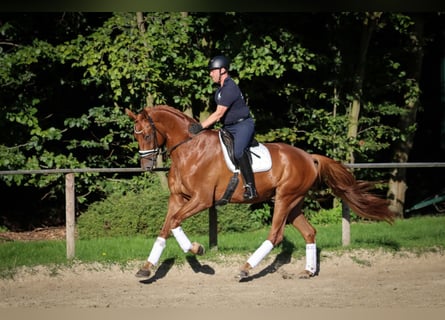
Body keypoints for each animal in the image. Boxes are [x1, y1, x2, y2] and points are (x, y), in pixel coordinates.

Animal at [125, 105, 396, 280]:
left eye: (147, 134)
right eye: (136, 136)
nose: (146, 167)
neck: (190, 149)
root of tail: (309, 157)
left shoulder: (201, 199)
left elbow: (174, 222)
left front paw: (196, 249)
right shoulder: (177, 198)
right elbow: (166, 226)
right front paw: (146, 268)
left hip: (285, 199)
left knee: (275, 235)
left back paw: (245, 268)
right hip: (293, 203)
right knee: (309, 232)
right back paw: (308, 271)